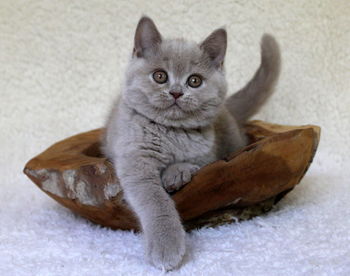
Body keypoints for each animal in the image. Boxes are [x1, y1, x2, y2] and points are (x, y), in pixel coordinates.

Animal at [102, 16, 280, 270]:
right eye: (160, 76)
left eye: (194, 81)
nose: (176, 92)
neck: (171, 132)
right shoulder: (135, 160)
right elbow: (155, 200)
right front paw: (167, 246)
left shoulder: (209, 156)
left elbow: (193, 164)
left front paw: (176, 173)